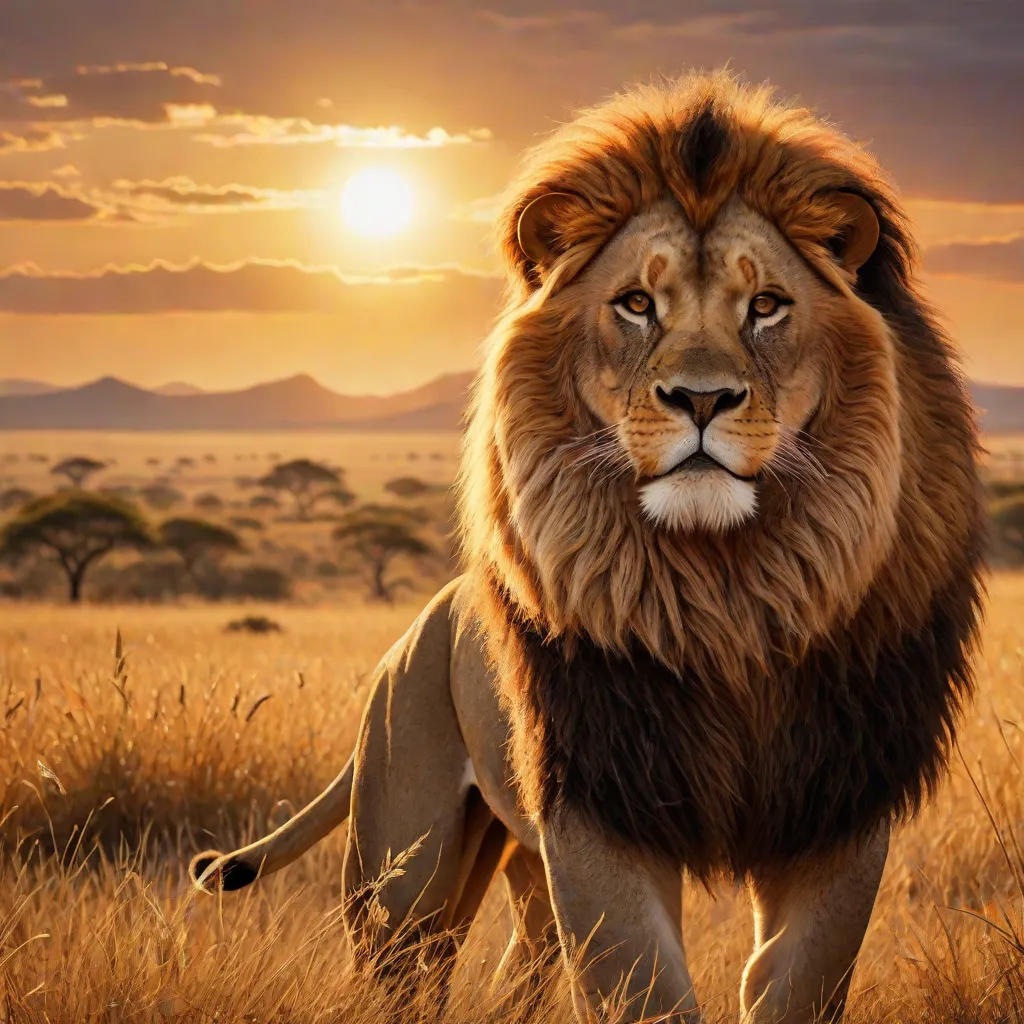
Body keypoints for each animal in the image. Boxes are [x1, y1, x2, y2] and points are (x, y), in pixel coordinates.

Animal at [190, 73, 984, 1024]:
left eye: (766, 306)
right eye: (637, 304)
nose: (702, 399)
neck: (728, 593)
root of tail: (413, 631)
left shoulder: (839, 806)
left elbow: (796, 983)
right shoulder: (597, 802)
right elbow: (643, 986)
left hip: (519, 872)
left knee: (519, 973)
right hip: (406, 864)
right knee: (405, 968)